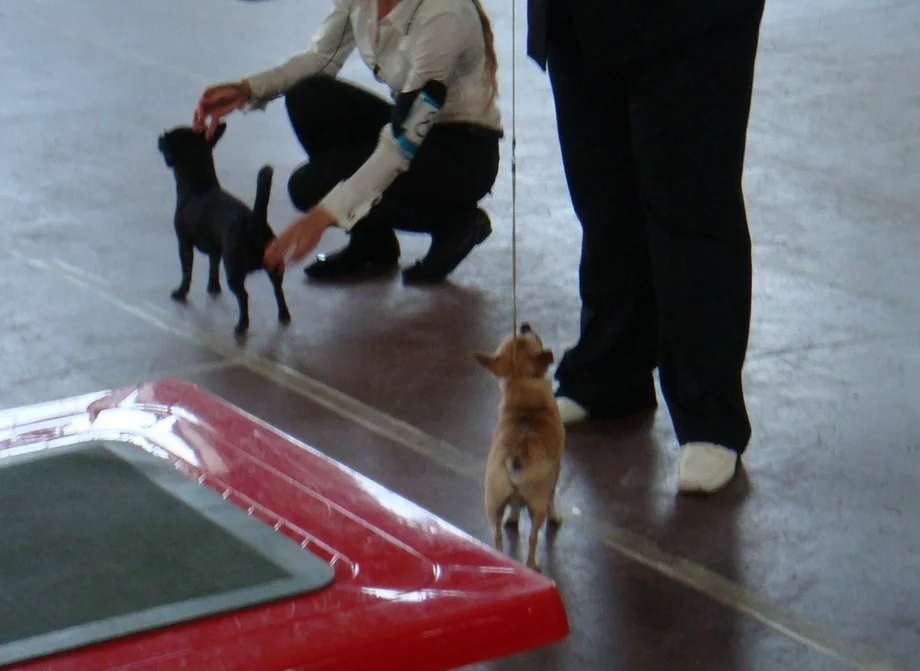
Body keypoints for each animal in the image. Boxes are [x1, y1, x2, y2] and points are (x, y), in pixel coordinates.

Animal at [157, 122, 291, 334]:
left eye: (167, 139)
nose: (159, 138)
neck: (199, 186)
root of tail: (255, 224)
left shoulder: (184, 243)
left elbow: (187, 271)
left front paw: (180, 292)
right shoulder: (215, 250)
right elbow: (213, 266)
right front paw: (213, 287)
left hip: (234, 269)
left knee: (243, 296)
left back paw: (242, 325)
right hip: (275, 265)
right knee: (278, 289)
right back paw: (283, 315)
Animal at [475, 323, 565, 572]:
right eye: (531, 336)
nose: (524, 325)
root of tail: (515, 457)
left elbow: (515, 506)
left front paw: (513, 518)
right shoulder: (556, 468)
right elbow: (553, 496)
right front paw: (556, 517)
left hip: (492, 504)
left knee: (496, 536)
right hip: (537, 505)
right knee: (534, 537)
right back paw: (532, 564)